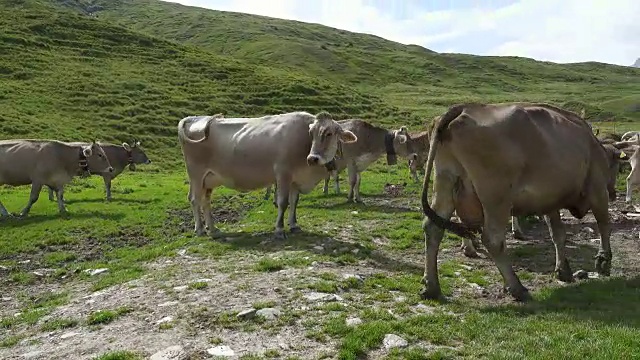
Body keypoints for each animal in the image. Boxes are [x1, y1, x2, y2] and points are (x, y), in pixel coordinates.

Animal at [178, 109, 358, 239]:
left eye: (329, 133)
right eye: (311, 133)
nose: (313, 158)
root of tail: (194, 118)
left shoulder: (295, 179)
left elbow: (294, 202)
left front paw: (294, 225)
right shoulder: (283, 174)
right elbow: (283, 202)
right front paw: (279, 230)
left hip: (209, 179)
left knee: (206, 201)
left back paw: (214, 230)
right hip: (196, 174)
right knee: (194, 199)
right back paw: (200, 230)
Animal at [420, 102, 616, 302]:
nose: (614, 193)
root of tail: (464, 108)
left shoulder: (549, 200)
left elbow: (558, 234)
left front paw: (564, 270)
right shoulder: (597, 187)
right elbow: (604, 224)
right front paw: (604, 261)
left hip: (446, 181)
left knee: (433, 228)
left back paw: (432, 287)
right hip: (496, 196)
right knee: (493, 239)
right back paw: (517, 287)